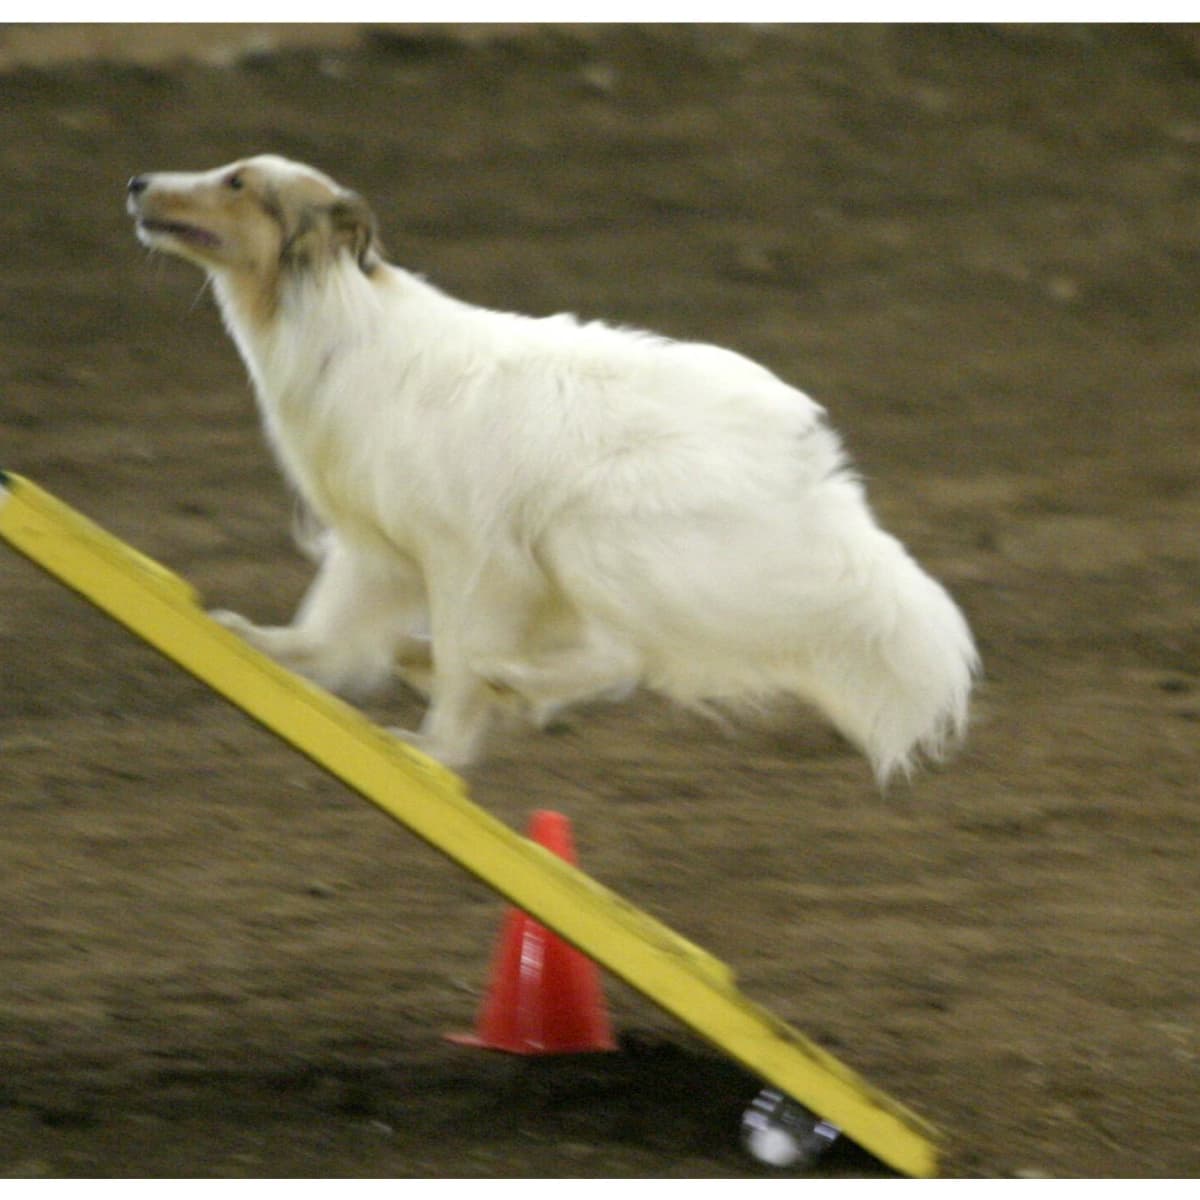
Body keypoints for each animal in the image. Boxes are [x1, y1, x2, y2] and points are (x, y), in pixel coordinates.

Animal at [126, 157, 979, 777]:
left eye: (238, 182)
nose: (136, 183)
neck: (343, 323)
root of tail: (817, 473)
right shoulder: (377, 550)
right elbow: (326, 634)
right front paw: (258, 642)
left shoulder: (472, 560)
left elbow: (459, 669)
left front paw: (437, 748)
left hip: (590, 537)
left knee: (625, 658)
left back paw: (515, 681)